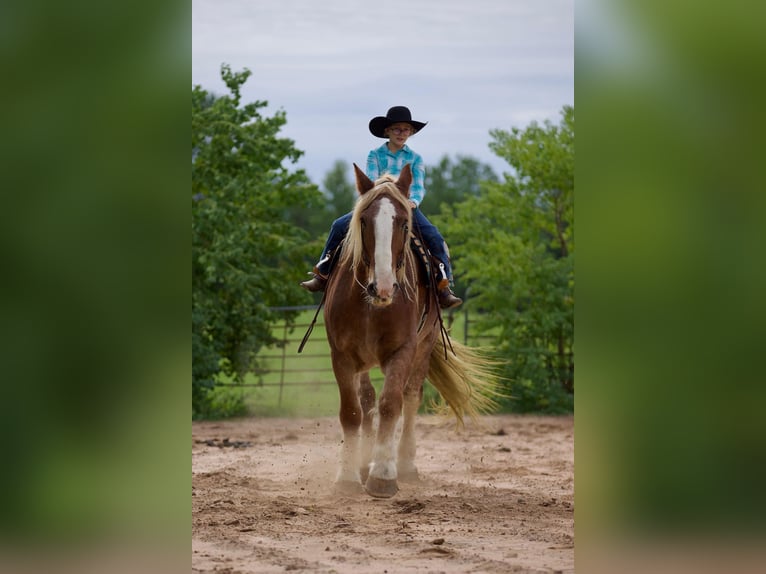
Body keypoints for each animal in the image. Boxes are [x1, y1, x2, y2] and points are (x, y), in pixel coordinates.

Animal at [322, 163, 498, 500]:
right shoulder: (342, 354)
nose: (383, 286)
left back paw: (404, 464)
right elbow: (352, 411)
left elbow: (391, 404)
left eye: (404, 223)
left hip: (425, 346)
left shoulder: (402, 350)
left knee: (410, 398)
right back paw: (364, 463)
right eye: (363, 220)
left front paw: (383, 476)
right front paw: (348, 476)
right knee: (367, 400)